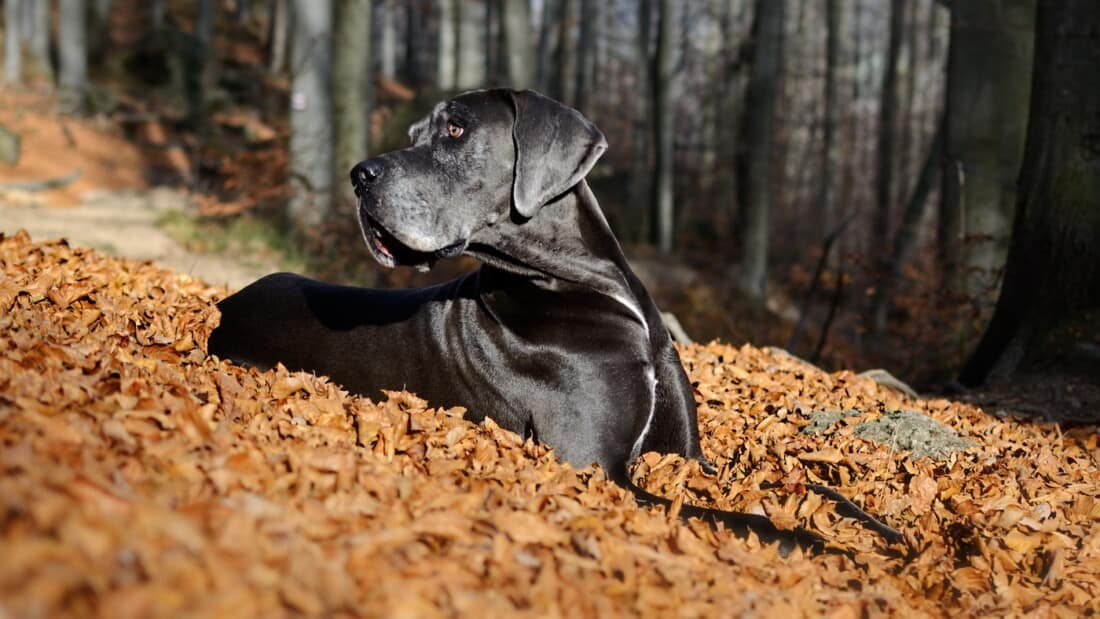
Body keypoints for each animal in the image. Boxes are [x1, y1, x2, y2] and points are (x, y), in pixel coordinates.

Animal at [207, 88, 902, 556]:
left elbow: (808, 486)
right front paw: (824, 547)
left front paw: (888, 532)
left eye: (455, 129)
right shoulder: (600, 469)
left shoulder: (688, 454)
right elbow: (739, 518)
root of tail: (227, 302)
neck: (583, 285)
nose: (358, 175)